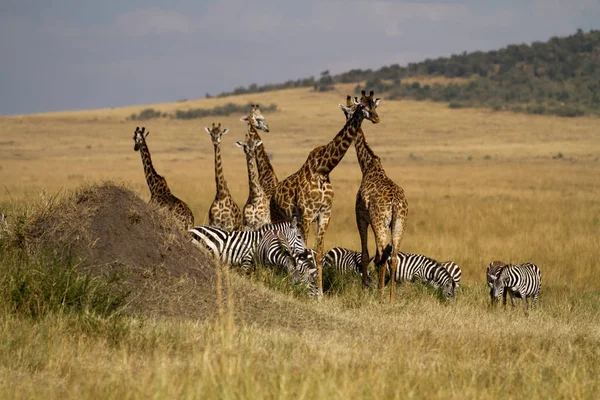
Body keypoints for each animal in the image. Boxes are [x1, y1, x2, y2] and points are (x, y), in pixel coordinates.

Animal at [270, 91, 380, 296]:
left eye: (374, 105)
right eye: (362, 106)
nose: (376, 118)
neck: (323, 169)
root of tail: (273, 194)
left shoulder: (324, 215)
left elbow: (318, 253)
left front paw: (319, 291)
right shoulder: (306, 215)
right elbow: (304, 251)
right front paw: (305, 287)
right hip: (277, 217)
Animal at [340, 95, 410, 298]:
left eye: (346, 112)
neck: (367, 166)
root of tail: (394, 204)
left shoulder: (361, 216)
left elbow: (365, 254)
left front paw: (363, 291)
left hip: (380, 224)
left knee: (381, 255)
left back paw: (380, 295)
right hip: (399, 224)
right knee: (392, 257)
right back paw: (390, 297)